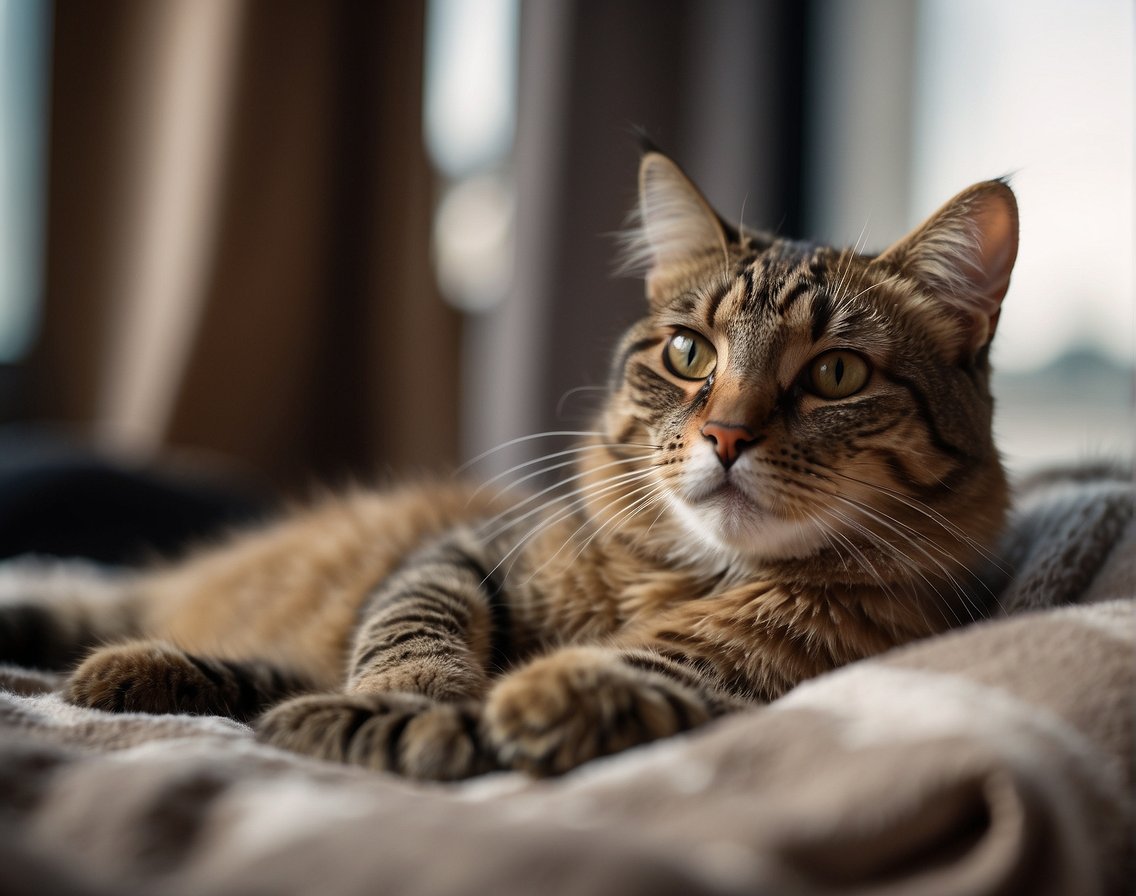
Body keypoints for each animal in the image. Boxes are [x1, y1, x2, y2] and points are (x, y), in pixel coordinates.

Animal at [0, 152, 1017, 776]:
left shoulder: (763, 678)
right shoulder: (459, 554)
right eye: (689, 354)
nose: (726, 437)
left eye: (837, 373)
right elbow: (409, 636)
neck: (682, 574)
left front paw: (525, 703)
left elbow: (639, 678)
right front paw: (406, 704)